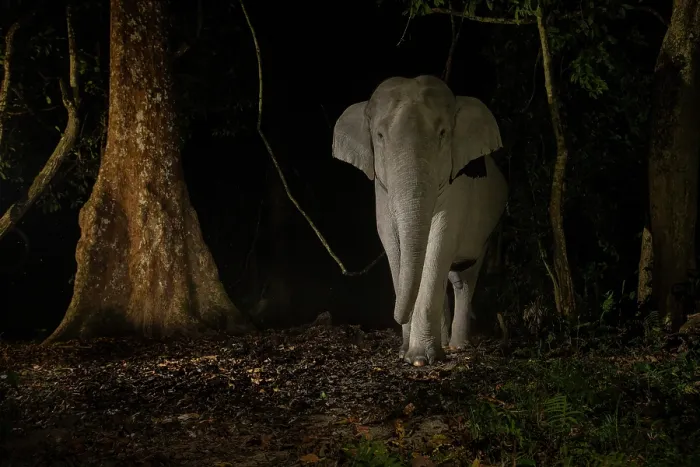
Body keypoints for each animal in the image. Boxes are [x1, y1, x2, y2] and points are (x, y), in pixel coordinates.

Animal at [332, 75, 508, 366]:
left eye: (443, 134)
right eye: (379, 136)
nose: (393, 316)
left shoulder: (456, 185)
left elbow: (441, 239)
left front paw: (419, 359)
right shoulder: (381, 190)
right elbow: (391, 242)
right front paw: (406, 352)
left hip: (487, 228)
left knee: (464, 276)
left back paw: (457, 346)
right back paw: (445, 342)